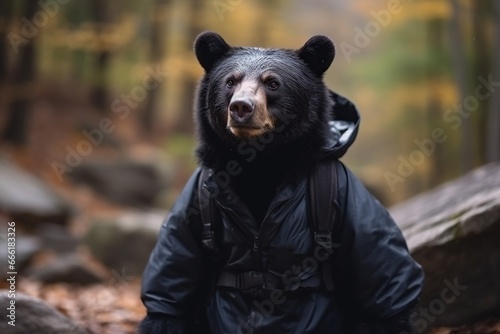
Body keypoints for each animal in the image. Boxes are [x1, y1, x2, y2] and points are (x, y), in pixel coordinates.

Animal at [139, 32, 424, 334]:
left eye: (273, 83)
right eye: (230, 81)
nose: (241, 107)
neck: (260, 162)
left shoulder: (347, 194)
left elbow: (381, 276)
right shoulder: (197, 195)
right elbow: (174, 275)